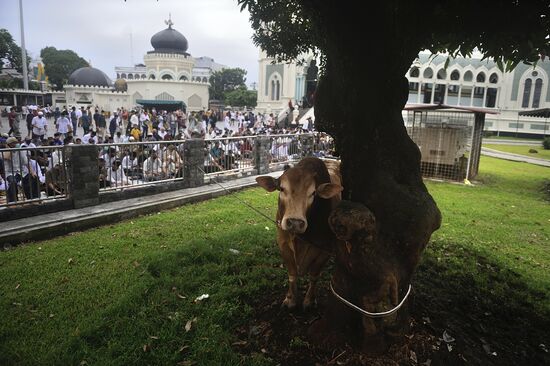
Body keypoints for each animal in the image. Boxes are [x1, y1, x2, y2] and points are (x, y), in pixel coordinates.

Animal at [256, 157, 342, 308]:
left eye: (313, 193)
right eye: (282, 188)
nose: (295, 222)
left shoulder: (325, 250)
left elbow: (314, 275)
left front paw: (309, 300)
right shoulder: (283, 244)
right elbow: (292, 274)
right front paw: (290, 299)